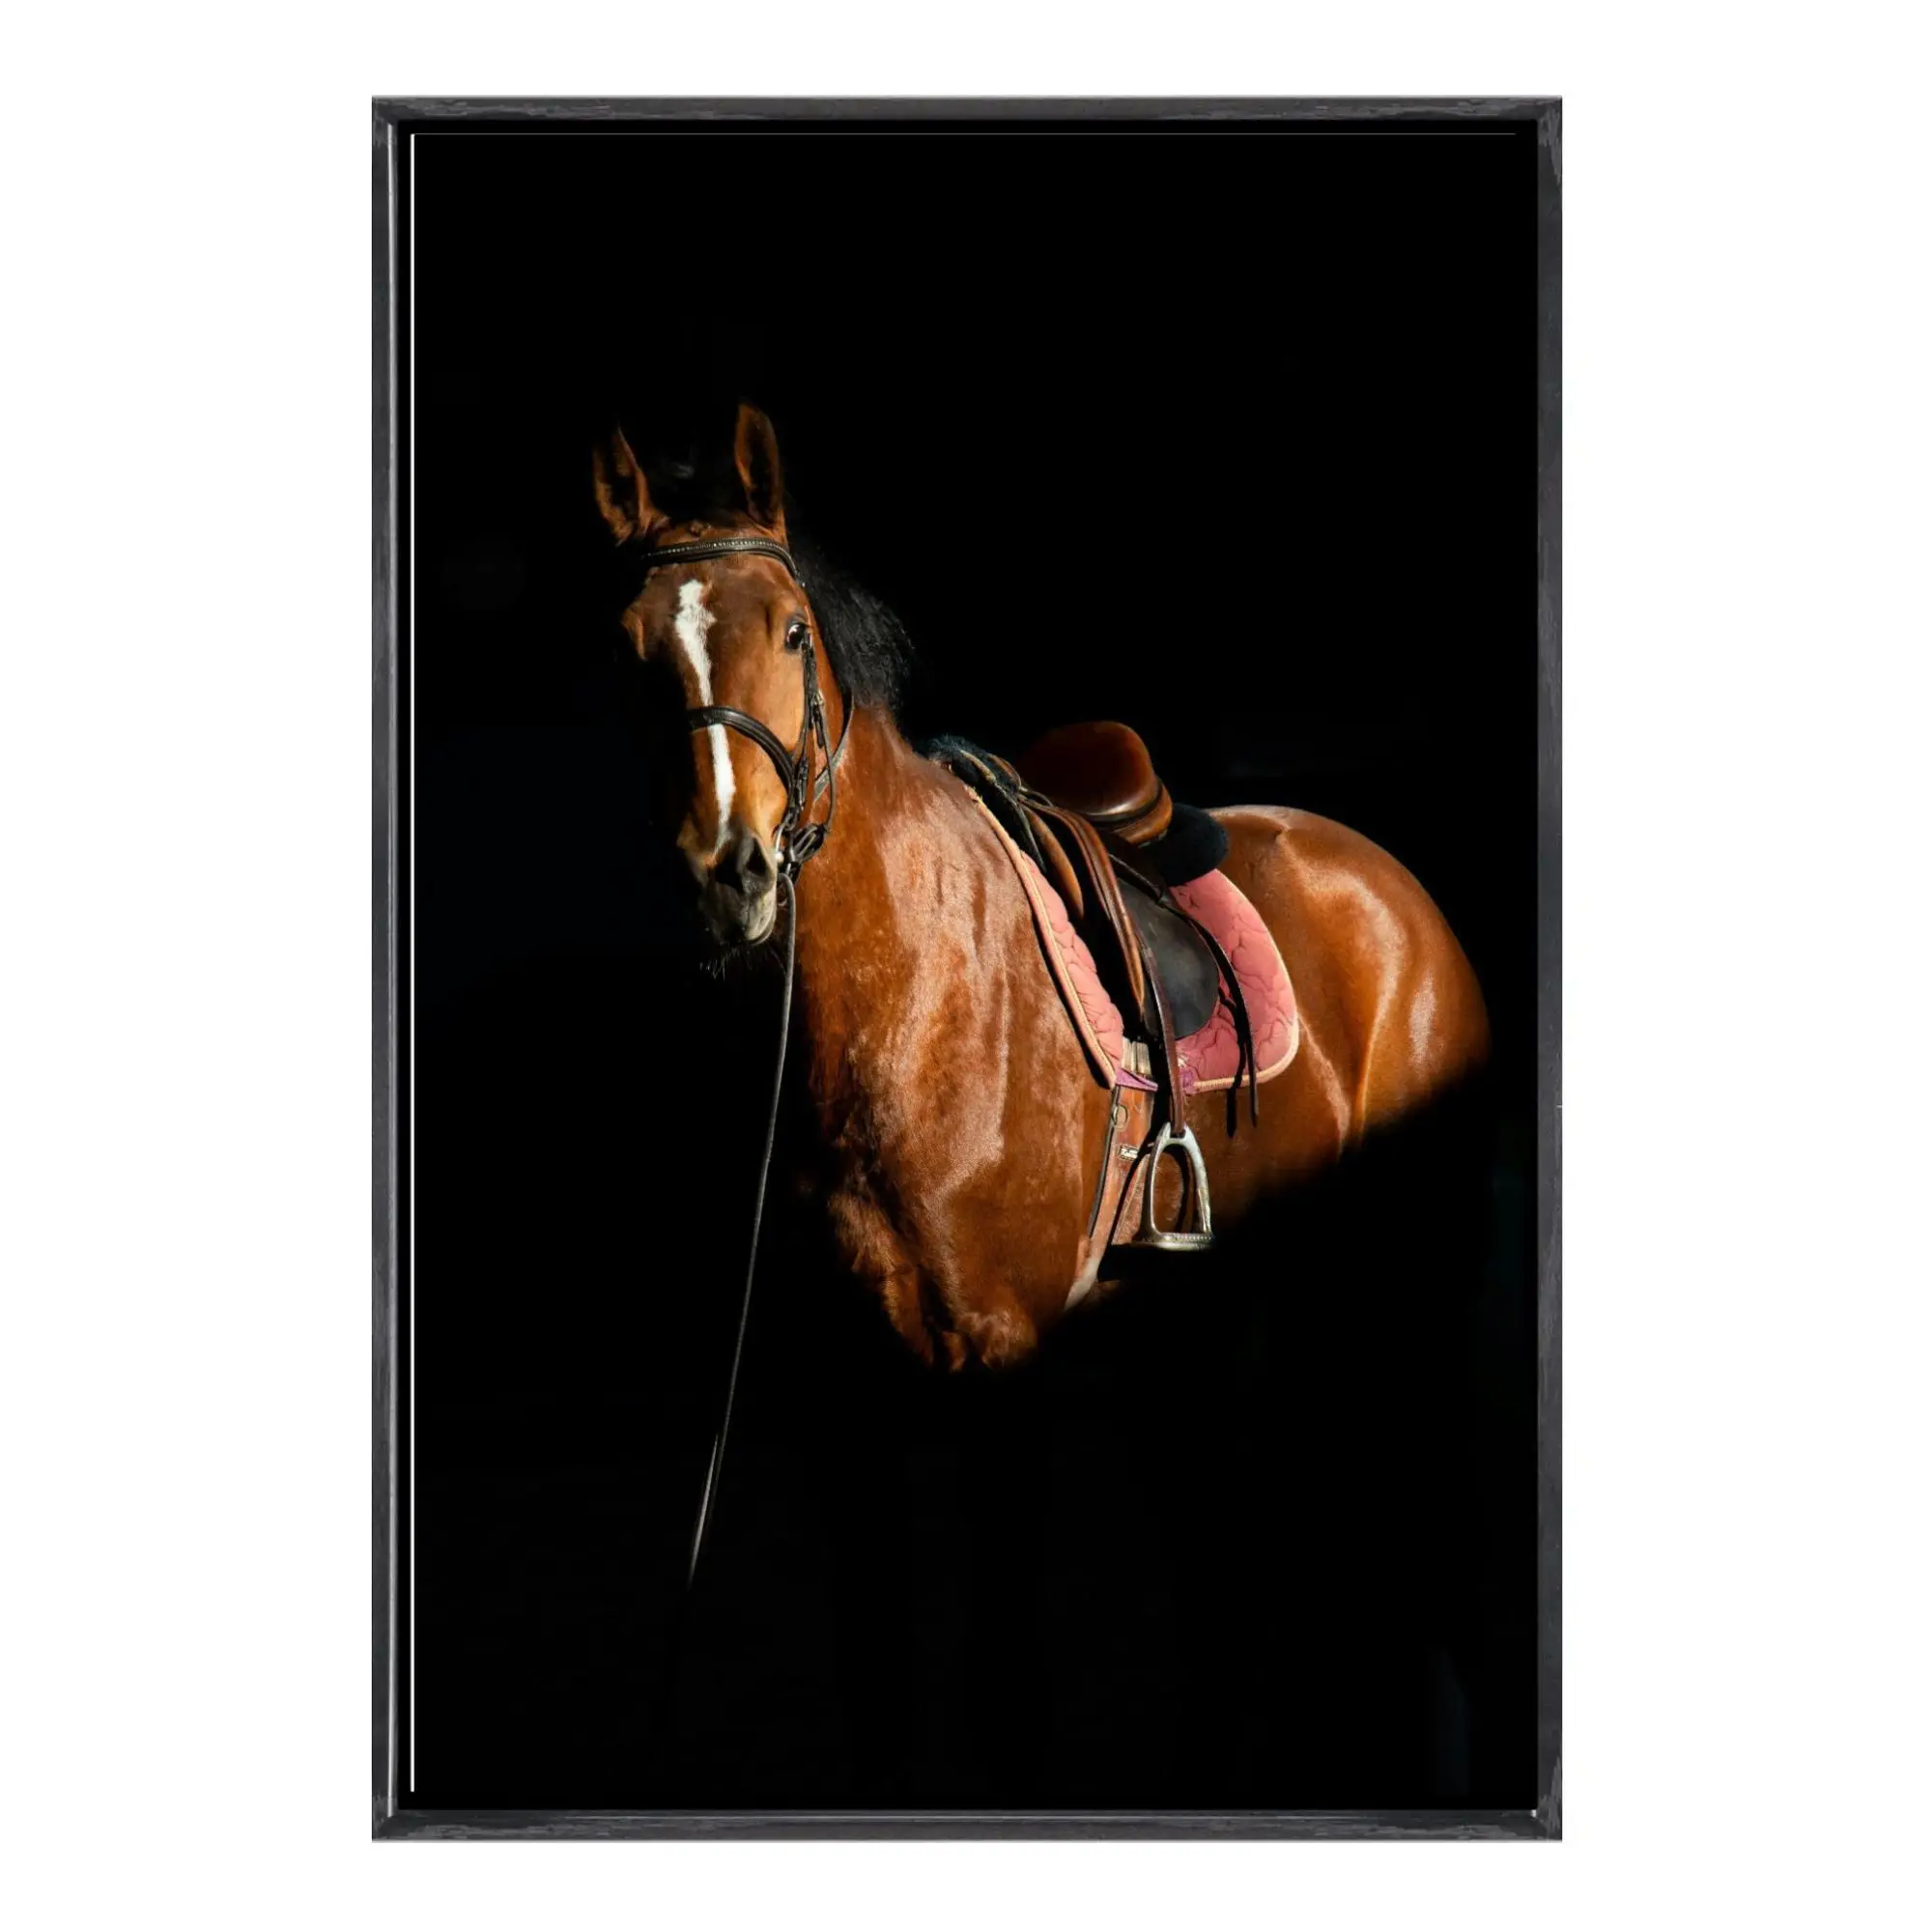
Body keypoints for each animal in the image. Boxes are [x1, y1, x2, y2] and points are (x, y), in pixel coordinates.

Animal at [592, 404, 1491, 1376]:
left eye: (792, 631)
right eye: (627, 651)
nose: (729, 871)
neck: (912, 997)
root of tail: (1397, 889)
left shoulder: (998, 1332)